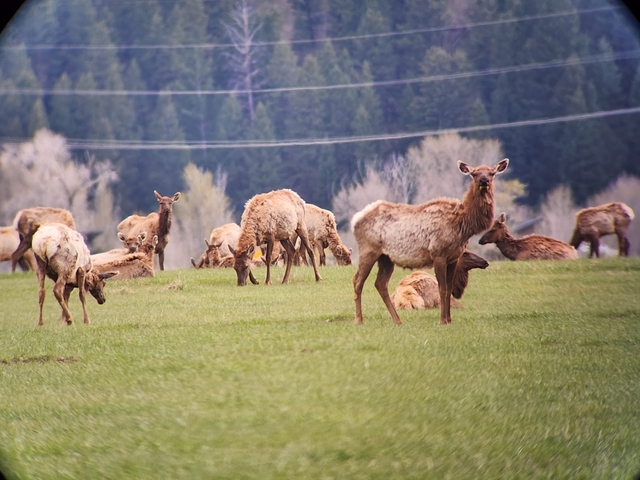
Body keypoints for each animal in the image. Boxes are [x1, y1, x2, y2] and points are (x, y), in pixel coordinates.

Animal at [351, 158, 509, 325]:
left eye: (492, 173)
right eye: (474, 174)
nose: (484, 181)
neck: (462, 225)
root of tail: (355, 219)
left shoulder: (453, 258)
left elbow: (448, 288)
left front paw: (449, 320)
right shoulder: (438, 253)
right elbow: (442, 288)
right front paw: (442, 320)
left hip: (386, 257)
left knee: (380, 284)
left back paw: (397, 320)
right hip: (368, 250)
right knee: (357, 281)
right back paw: (359, 320)